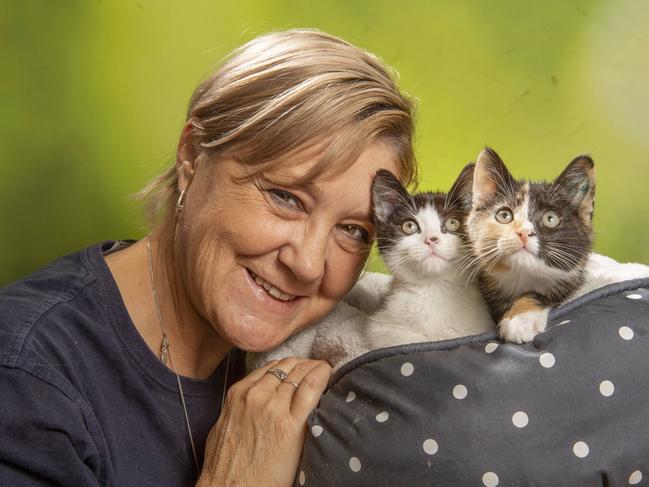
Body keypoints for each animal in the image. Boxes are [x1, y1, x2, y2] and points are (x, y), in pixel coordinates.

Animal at [466, 148, 596, 344]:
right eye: (504, 215)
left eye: (551, 218)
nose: (524, 232)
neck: (521, 277)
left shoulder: (571, 283)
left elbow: (540, 294)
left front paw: (519, 319)